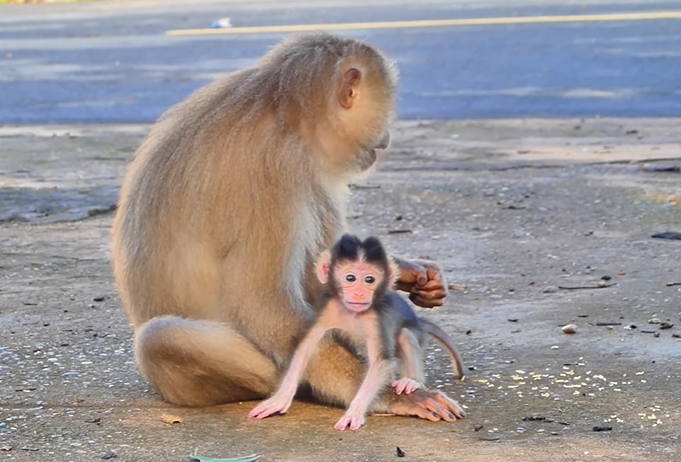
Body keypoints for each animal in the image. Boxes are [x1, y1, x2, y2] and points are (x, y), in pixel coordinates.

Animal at [249, 235, 464, 430]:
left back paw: (411, 381)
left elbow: (379, 362)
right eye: (350, 278)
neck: (352, 313)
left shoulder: (373, 319)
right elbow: (306, 346)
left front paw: (354, 412)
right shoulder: (329, 310)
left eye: (370, 279)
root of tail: (418, 321)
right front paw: (281, 398)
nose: (360, 293)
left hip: (411, 331)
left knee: (405, 335)